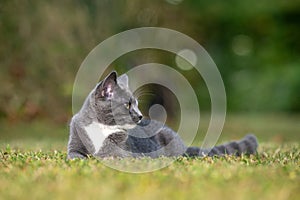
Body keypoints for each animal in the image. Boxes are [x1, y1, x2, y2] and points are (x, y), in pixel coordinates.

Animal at [67, 71, 258, 159]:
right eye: (128, 104)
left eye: (137, 104)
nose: (140, 116)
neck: (101, 126)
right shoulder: (75, 142)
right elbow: (75, 155)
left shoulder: (124, 154)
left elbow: (110, 154)